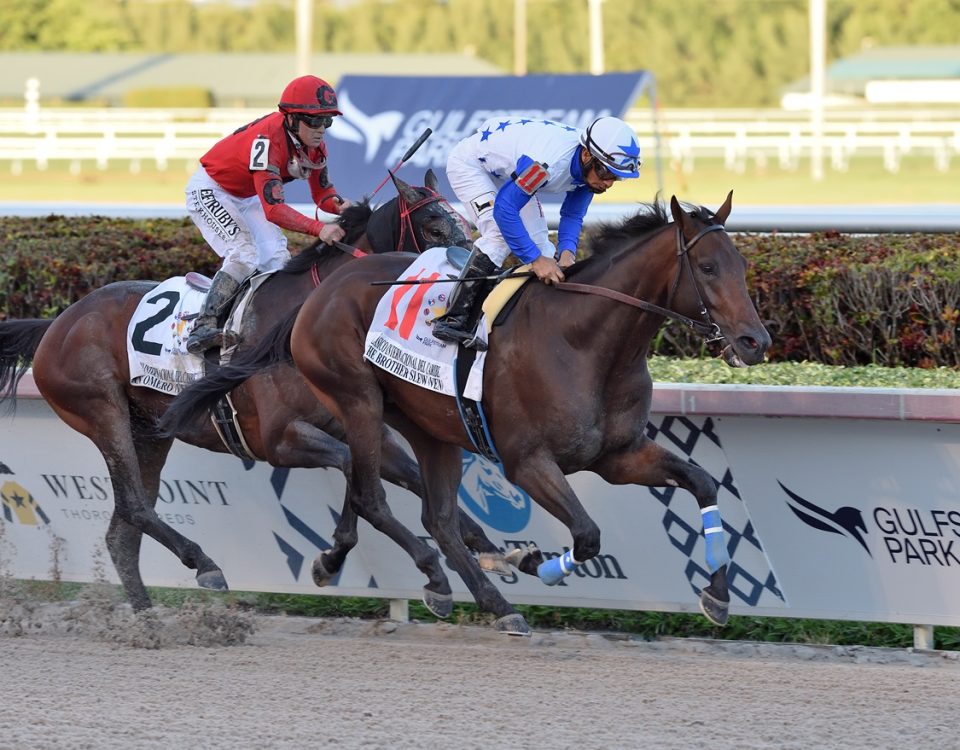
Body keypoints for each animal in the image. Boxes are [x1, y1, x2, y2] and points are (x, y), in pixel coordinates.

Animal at [0, 172, 516, 616]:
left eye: (466, 222)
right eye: (434, 225)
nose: (481, 280)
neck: (301, 317)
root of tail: (57, 324)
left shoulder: (359, 424)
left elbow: (407, 482)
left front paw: (497, 553)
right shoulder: (278, 439)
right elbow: (354, 474)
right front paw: (391, 566)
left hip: (149, 432)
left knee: (120, 534)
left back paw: (149, 622)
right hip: (103, 416)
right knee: (133, 506)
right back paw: (204, 567)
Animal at [161, 194, 768, 636]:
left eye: (742, 264)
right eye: (708, 267)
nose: (755, 341)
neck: (585, 341)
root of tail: (317, 294)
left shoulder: (618, 454)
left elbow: (702, 482)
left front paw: (717, 595)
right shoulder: (528, 461)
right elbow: (588, 535)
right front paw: (540, 563)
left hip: (430, 428)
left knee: (437, 518)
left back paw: (487, 596)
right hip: (358, 402)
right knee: (372, 493)